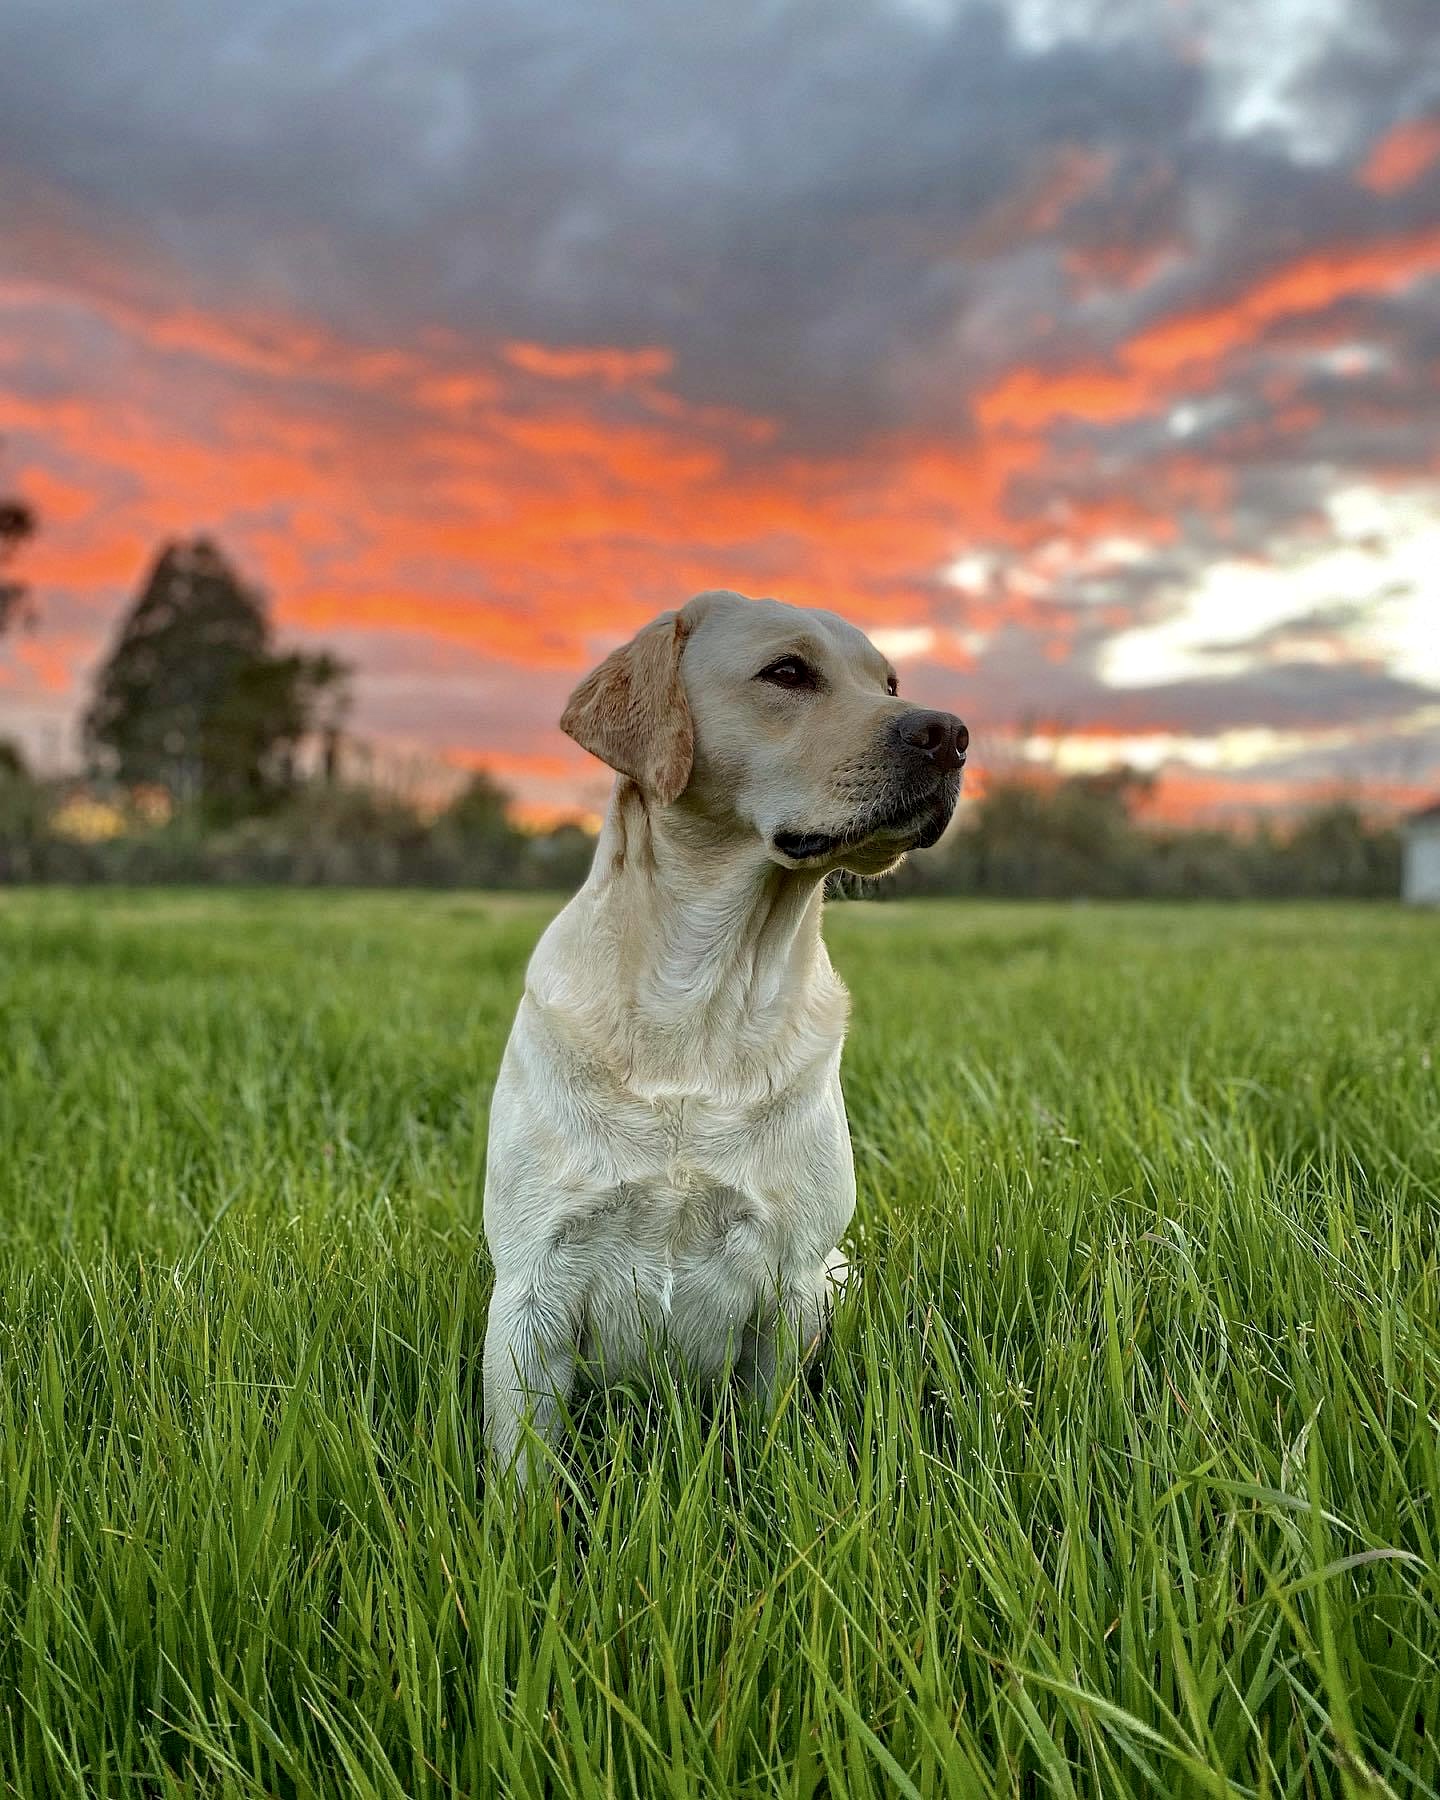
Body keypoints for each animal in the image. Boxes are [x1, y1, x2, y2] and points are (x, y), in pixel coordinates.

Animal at [482, 590, 964, 1476]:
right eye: (788, 672)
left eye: (888, 681)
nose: (949, 734)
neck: (700, 998)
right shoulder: (532, 1285)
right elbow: (522, 1473)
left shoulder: (793, 1281)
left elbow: (768, 1434)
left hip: (841, 1273)